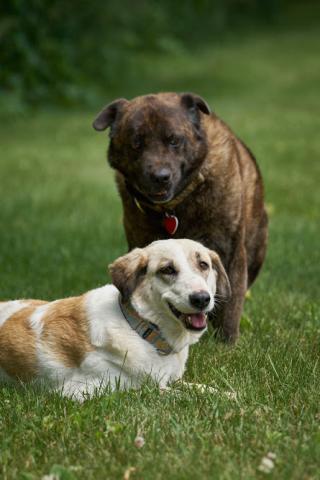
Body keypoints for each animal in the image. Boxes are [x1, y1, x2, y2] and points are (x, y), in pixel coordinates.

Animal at [0, 238, 230, 400]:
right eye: (167, 269)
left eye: (203, 265)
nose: (201, 299)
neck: (142, 329)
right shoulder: (83, 391)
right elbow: (153, 393)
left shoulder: (169, 379)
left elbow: (203, 389)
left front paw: (228, 396)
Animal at [92, 93, 268, 342]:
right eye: (136, 143)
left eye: (174, 140)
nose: (160, 177)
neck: (174, 207)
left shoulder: (230, 251)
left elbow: (230, 303)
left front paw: (226, 343)